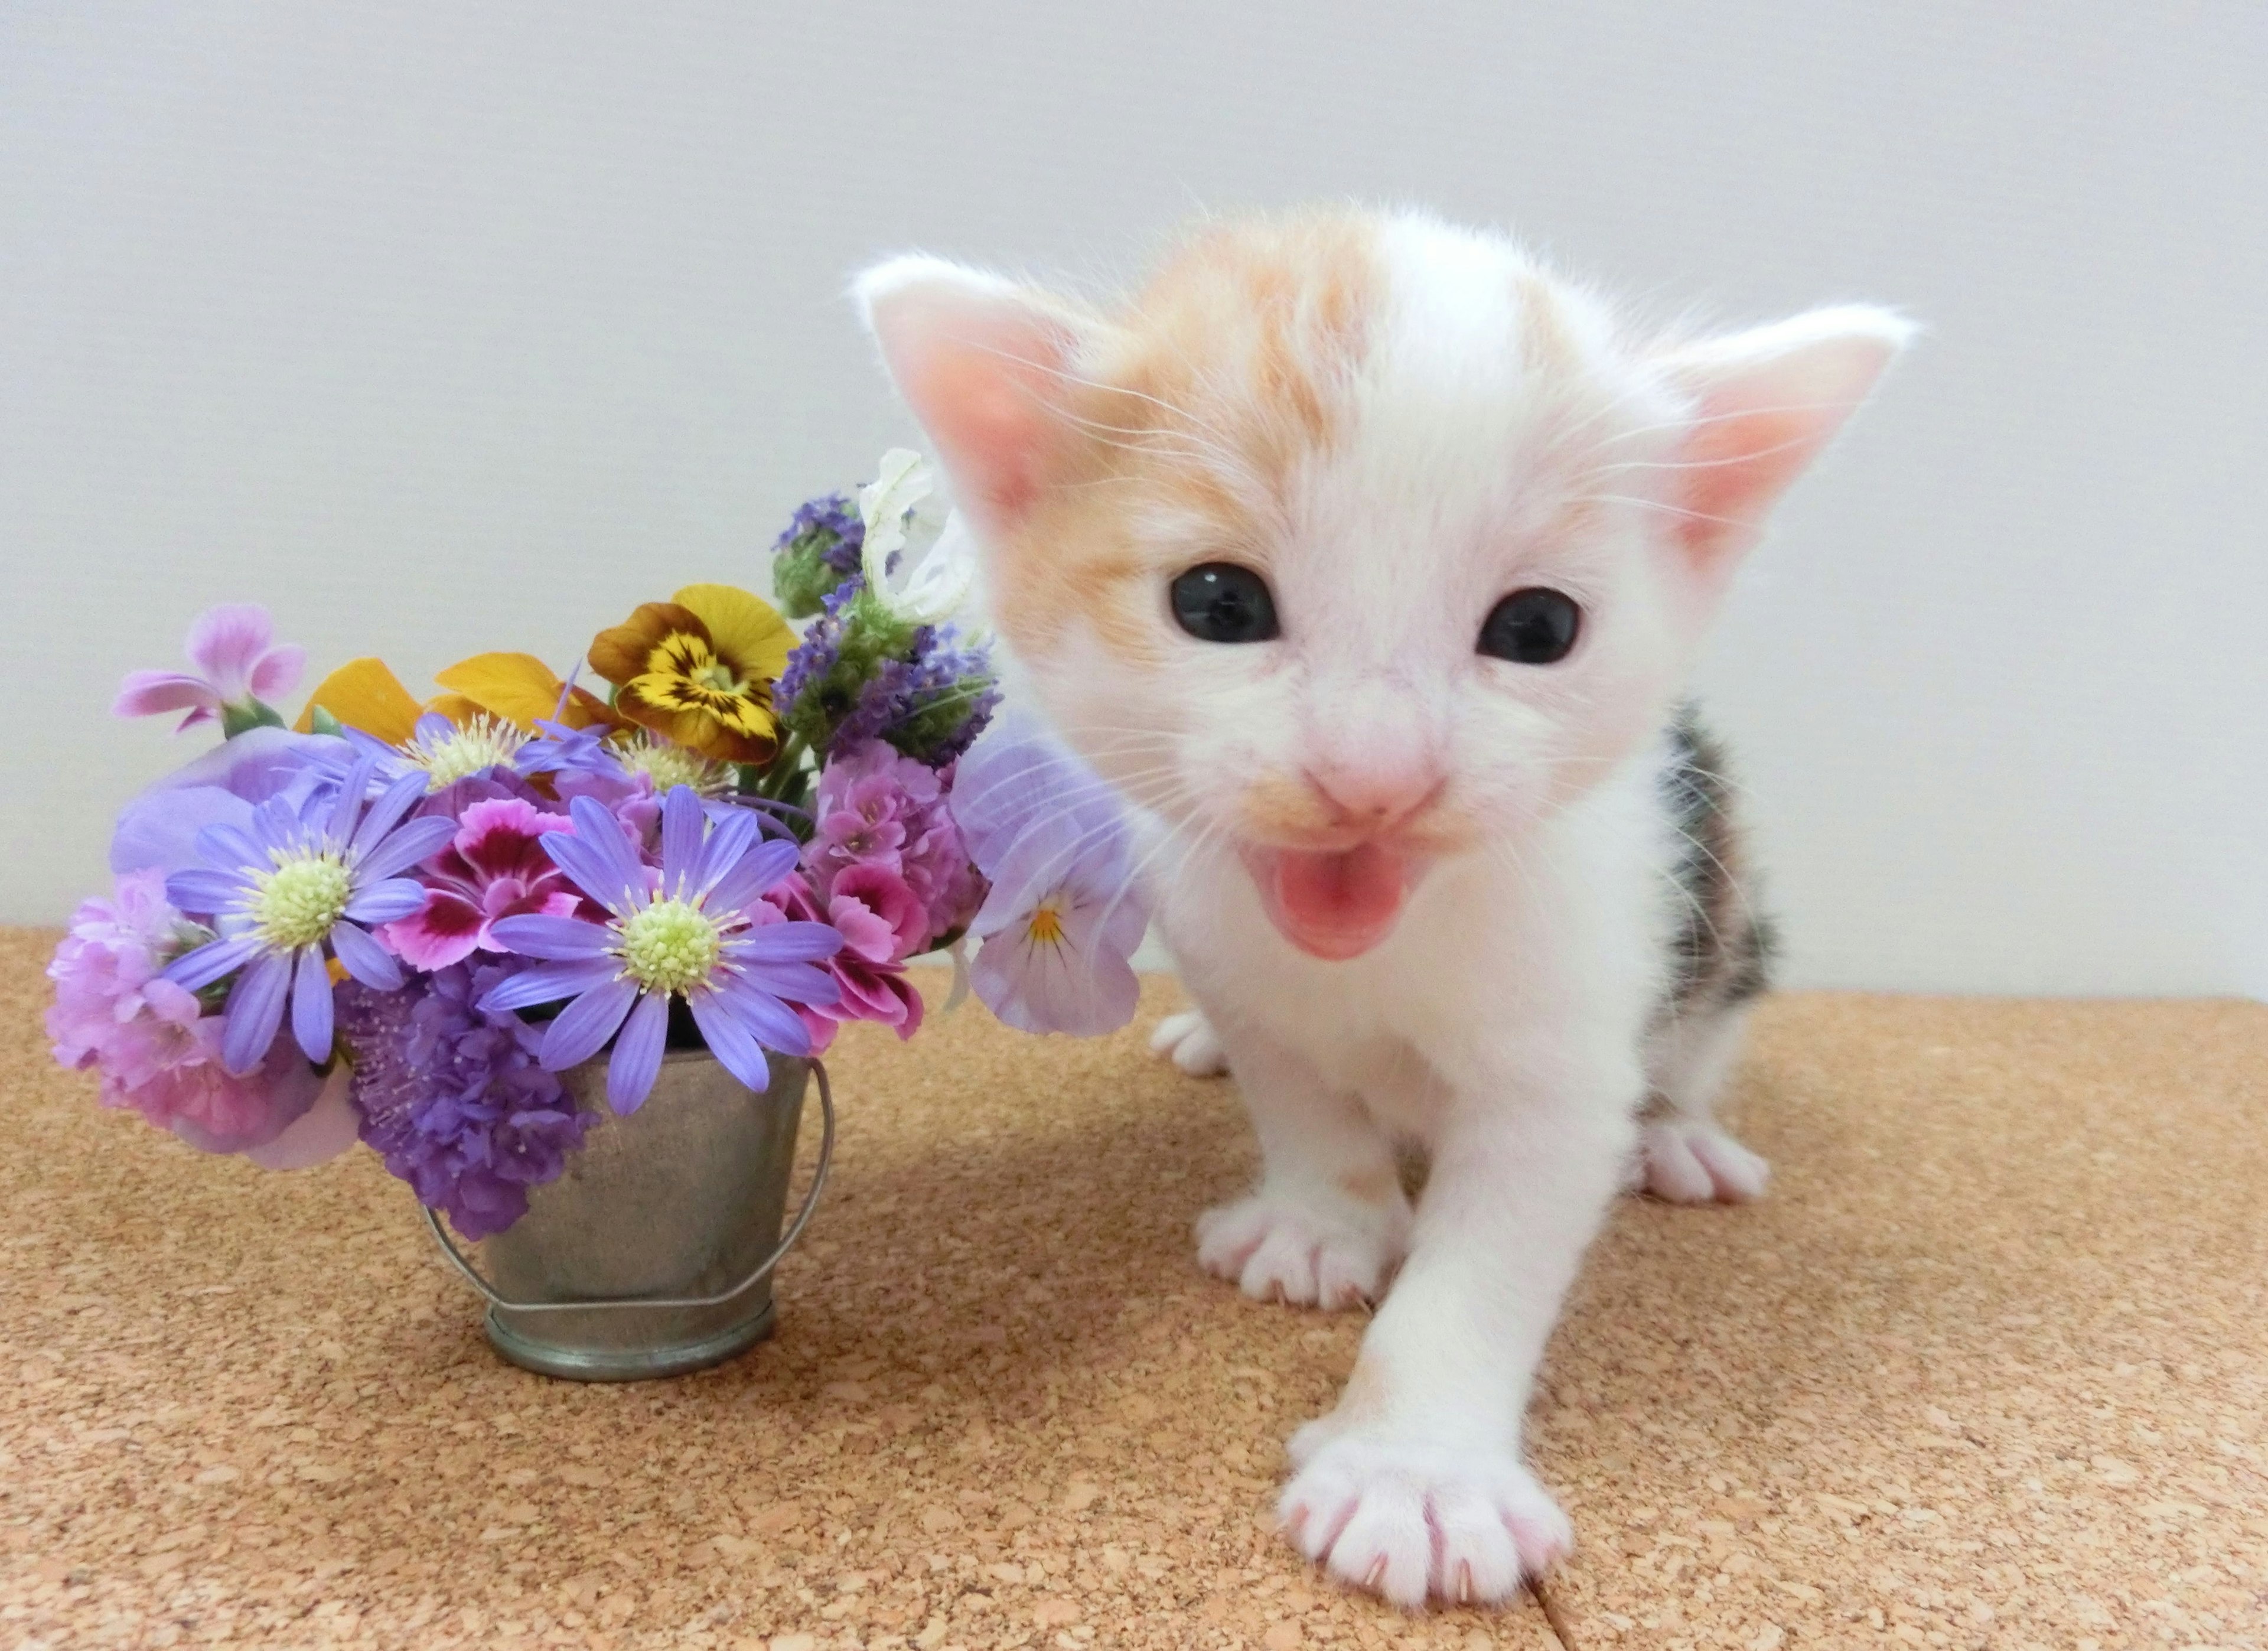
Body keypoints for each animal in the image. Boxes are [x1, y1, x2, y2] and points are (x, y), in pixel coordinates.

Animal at [857, 213, 1905, 1606]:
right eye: (1218, 603)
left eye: (1539, 625)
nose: (1375, 777)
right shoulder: (1236, 953)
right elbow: (1299, 1093)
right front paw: (1321, 1221)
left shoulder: (1570, 1026)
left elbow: (1492, 1252)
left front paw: (1417, 1470)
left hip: (1722, 909)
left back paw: (1680, 1135)